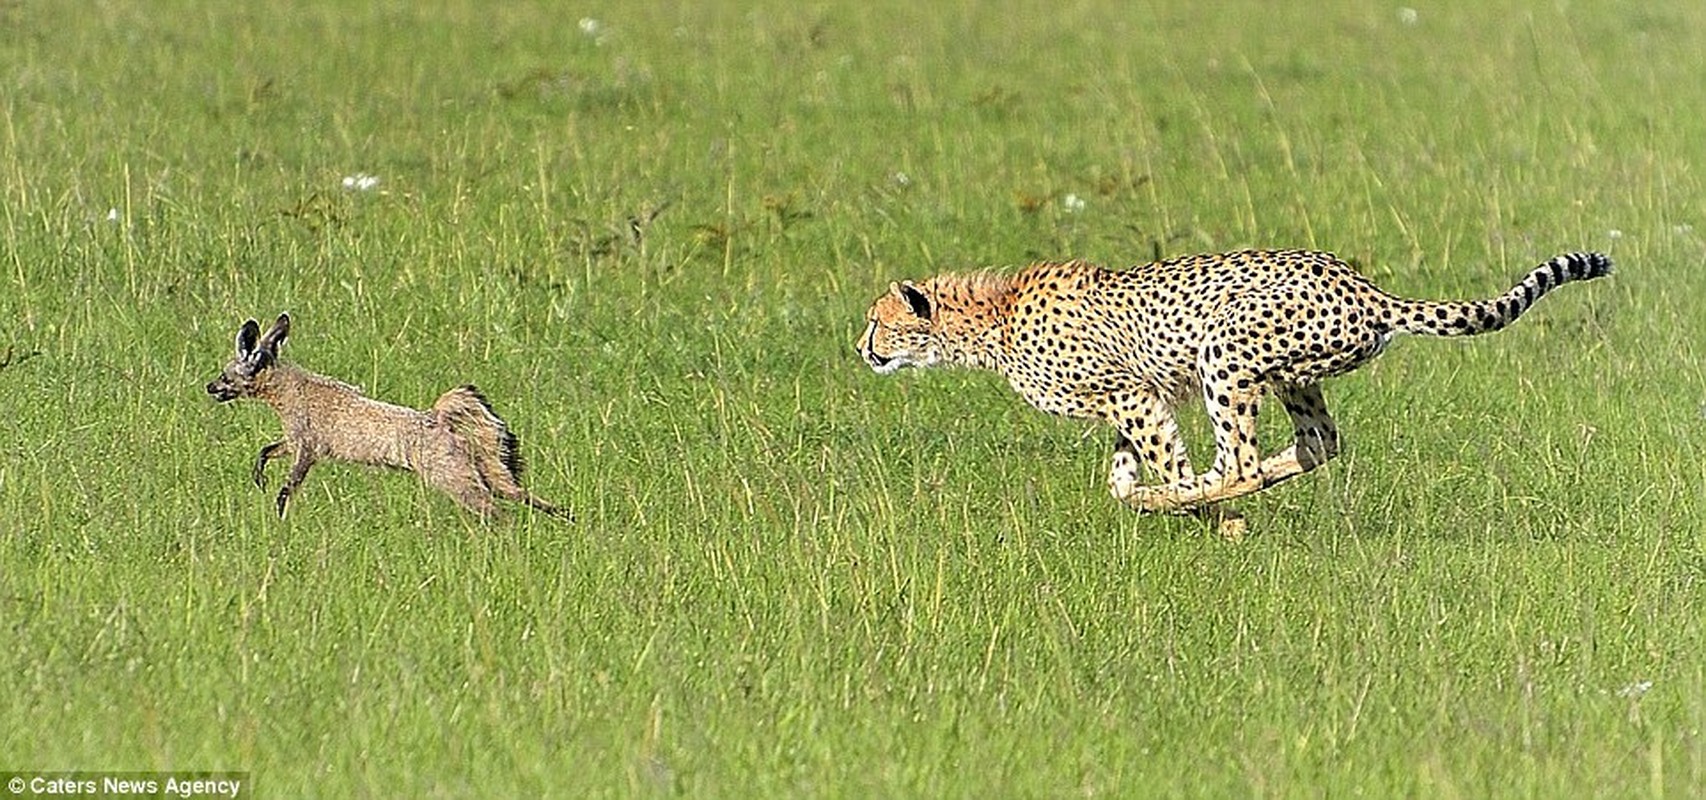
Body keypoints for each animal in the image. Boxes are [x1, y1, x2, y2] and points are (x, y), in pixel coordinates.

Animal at [853, 247, 1610, 511]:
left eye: (876, 321)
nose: (860, 348)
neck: (991, 318)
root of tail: (1365, 287)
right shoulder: (1136, 399)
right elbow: (1121, 472)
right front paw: (1146, 496)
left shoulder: (1131, 395)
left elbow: (1170, 465)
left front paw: (1194, 510)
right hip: (1293, 375)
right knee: (1318, 443)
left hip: (1225, 353)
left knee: (1240, 461)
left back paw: (1197, 497)